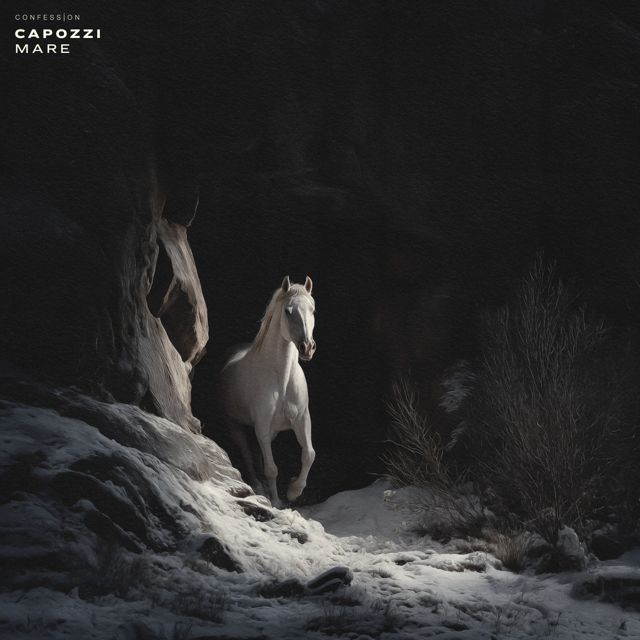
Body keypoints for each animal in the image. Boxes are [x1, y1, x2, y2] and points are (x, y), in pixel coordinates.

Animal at [219, 275, 317, 506]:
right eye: (288, 311)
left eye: (313, 309)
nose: (307, 348)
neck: (282, 379)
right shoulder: (261, 425)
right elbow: (271, 469)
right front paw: (277, 503)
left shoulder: (301, 419)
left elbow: (309, 454)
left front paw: (293, 491)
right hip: (235, 426)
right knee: (247, 455)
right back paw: (258, 486)